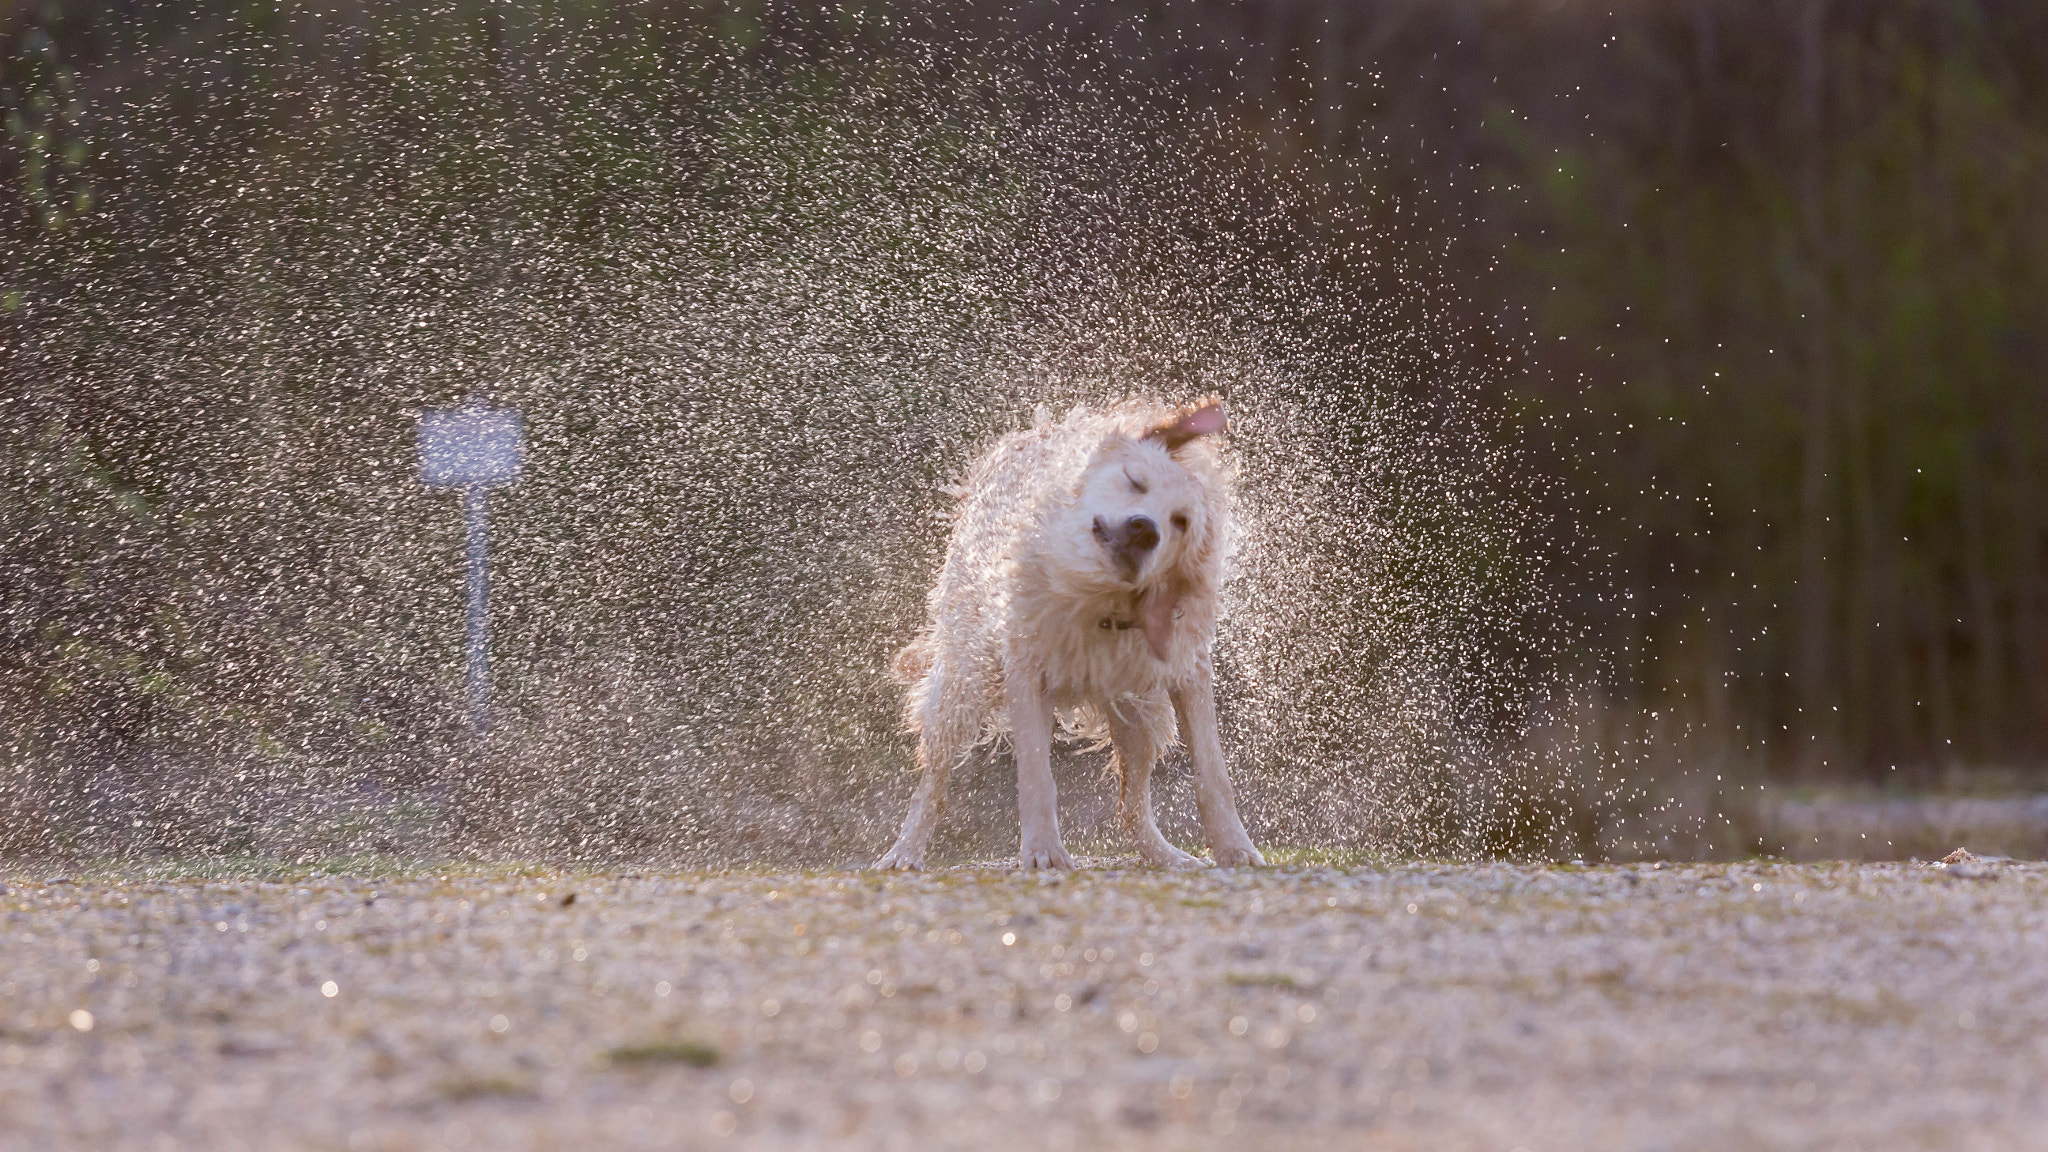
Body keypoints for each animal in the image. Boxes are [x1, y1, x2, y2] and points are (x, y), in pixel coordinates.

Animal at [876, 397, 1261, 869]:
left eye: (1181, 522)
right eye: (1135, 481)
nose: (1145, 530)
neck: (1101, 601)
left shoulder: (1188, 668)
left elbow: (1212, 772)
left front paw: (1235, 847)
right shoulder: (1027, 671)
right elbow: (1036, 777)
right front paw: (1043, 852)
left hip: (1140, 711)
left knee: (1131, 808)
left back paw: (1167, 857)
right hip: (965, 681)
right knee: (933, 782)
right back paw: (905, 851)